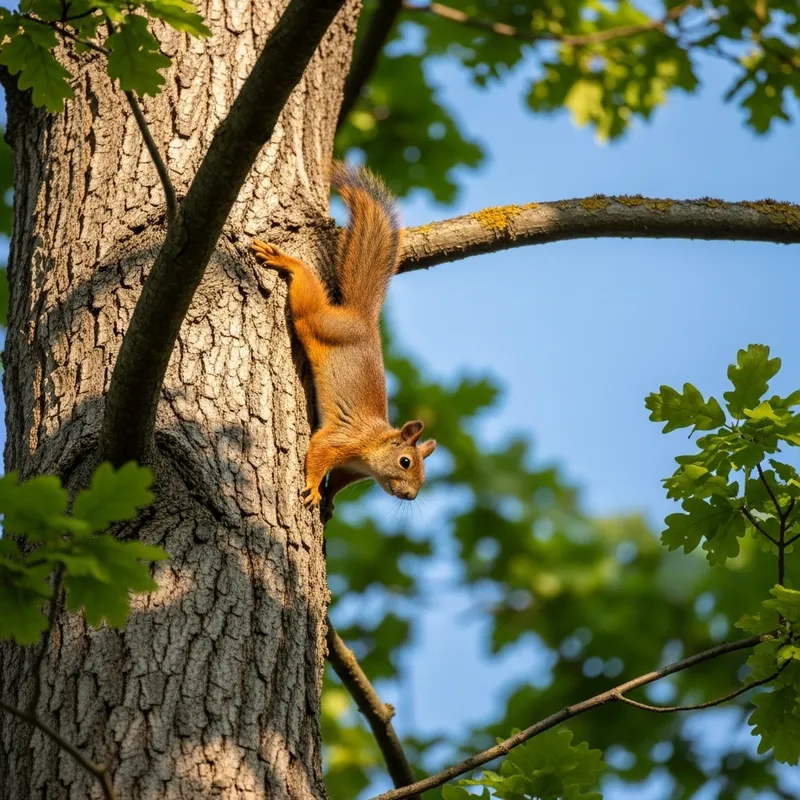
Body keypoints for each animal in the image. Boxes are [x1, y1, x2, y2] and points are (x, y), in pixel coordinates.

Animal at [251, 162, 436, 511]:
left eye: (424, 476)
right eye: (405, 461)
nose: (410, 495)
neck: (371, 448)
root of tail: (361, 317)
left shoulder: (350, 469)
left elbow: (336, 480)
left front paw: (329, 502)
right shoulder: (341, 439)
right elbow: (319, 452)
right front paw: (313, 487)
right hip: (317, 321)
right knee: (305, 292)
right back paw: (285, 261)